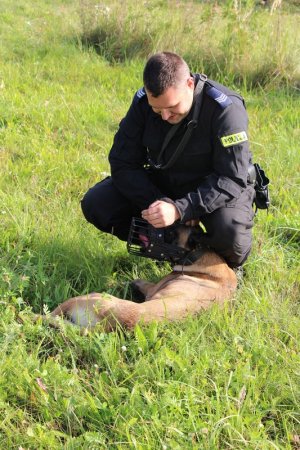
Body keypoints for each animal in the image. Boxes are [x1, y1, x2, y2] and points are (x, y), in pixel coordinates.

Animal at [48, 225, 237, 330]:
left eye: (170, 231)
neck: (197, 253)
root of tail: (109, 325)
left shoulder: (151, 288)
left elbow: (135, 280)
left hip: (82, 299)